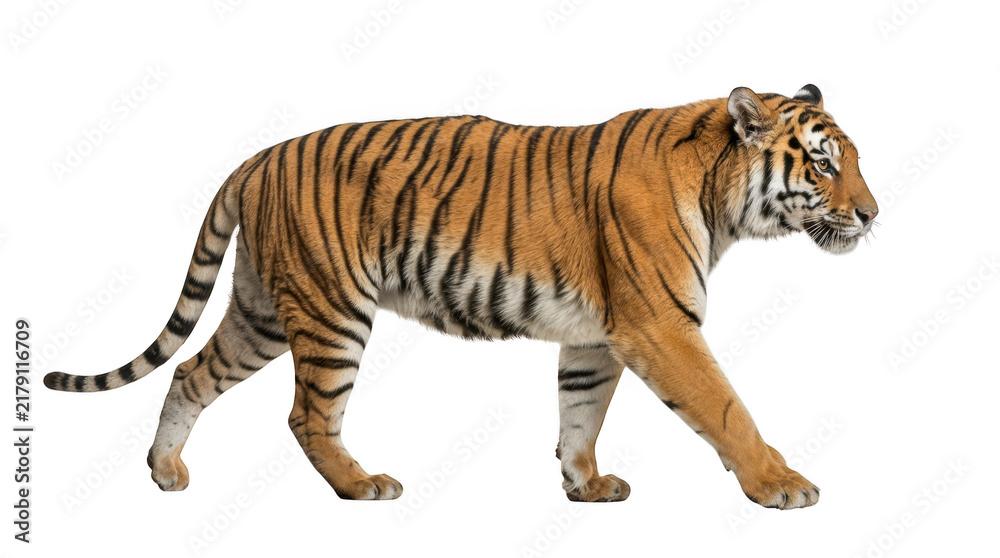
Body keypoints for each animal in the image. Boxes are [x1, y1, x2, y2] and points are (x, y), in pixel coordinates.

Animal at [45, 84, 877, 509]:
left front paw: (585, 485)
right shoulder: (661, 327)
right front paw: (781, 484)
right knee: (307, 414)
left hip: (261, 311)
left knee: (191, 372)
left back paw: (165, 472)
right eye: (825, 165)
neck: (719, 198)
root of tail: (260, 156)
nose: (873, 214)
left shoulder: (596, 336)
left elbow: (580, 413)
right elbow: (727, 409)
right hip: (330, 310)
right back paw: (361, 485)